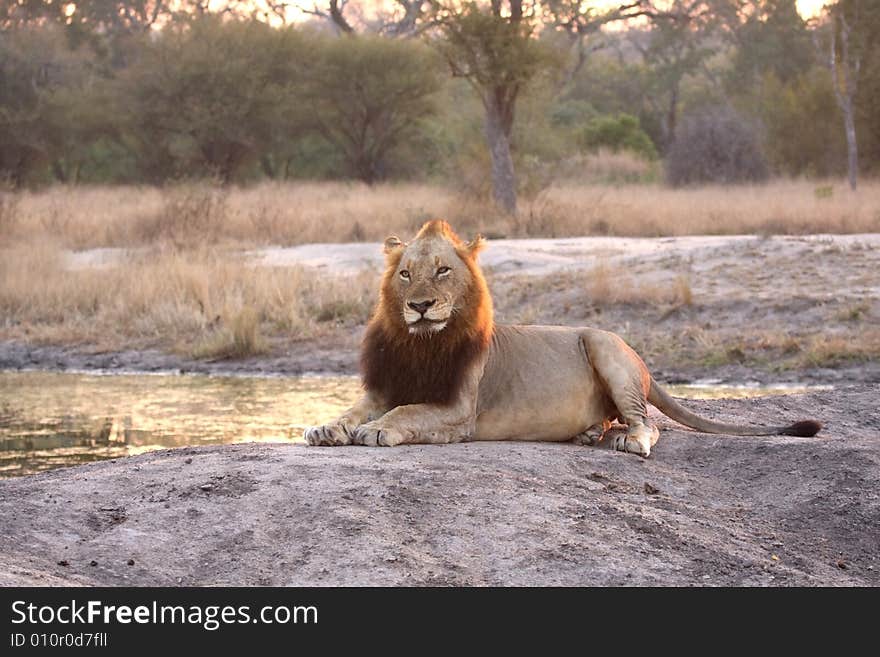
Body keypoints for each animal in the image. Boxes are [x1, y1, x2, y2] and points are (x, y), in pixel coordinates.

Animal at [306, 220, 820, 456]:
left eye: (443, 271)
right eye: (406, 274)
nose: (420, 306)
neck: (420, 343)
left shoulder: (458, 410)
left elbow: (407, 412)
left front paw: (376, 429)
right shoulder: (385, 386)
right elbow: (355, 407)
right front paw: (327, 427)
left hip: (604, 346)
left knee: (647, 422)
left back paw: (628, 441)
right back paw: (589, 432)